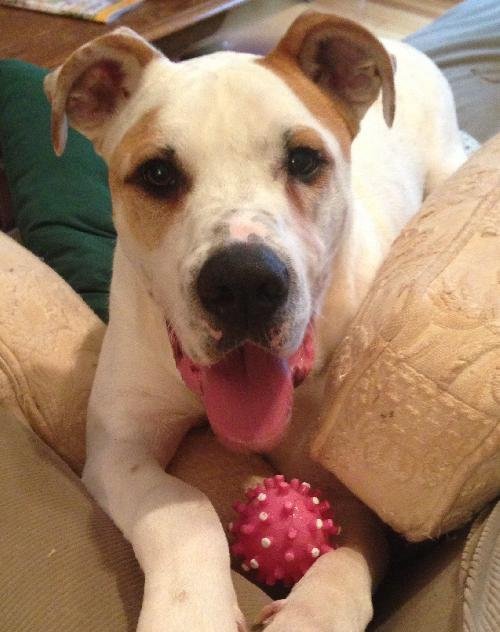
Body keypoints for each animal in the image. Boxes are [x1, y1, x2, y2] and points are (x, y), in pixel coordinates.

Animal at [45, 9, 466, 632]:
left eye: (304, 161)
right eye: (157, 174)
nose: (243, 283)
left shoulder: (354, 495)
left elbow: (346, 560)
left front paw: (311, 615)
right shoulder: (118, 447)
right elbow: (184, 511)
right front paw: (189, 612)